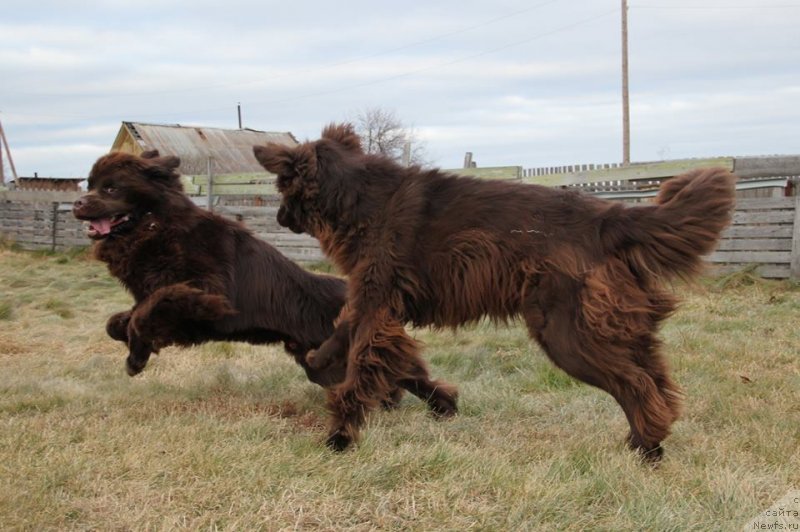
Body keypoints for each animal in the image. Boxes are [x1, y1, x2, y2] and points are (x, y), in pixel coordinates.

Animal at [74, 150, 350, 386]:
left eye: (111, 188)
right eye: (90, 186)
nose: (77, 203)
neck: (158, 228)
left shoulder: (209, 292)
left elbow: (147, 312)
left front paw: (137, 357)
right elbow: (115, 322)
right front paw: (136, 343)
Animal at [256, 122, 736, 460]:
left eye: (281, 187)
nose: (277, 217)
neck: (357, 199)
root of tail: (609, 218)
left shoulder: (377, 305)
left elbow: (359, 366)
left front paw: (340, 436)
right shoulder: (371, 300)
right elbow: (340, 338)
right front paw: (322, 362)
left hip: (567, 333)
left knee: (636, 385)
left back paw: (647, 448)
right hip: (617, 326)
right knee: (656, 381)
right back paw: (649, 441)